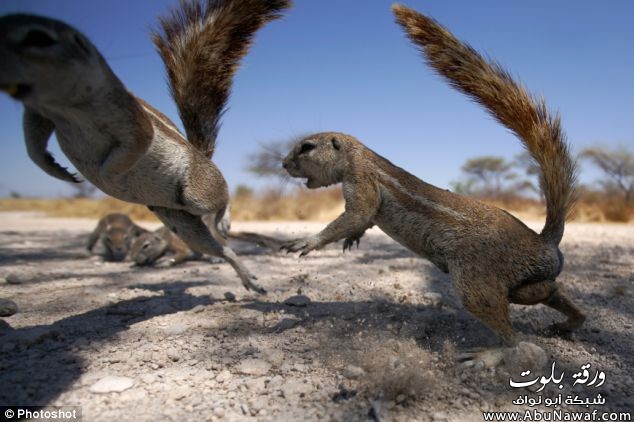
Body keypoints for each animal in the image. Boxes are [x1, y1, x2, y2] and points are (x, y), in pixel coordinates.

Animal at [0, 0, 292, 294]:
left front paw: (105, 176)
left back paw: (224, 221)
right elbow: (33, 143)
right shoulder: (40, 113)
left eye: (39, 37)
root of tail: (200, 155)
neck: (65, 108)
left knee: (223, 198)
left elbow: (131, 146)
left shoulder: (132, 120)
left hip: (196, 195)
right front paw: (55, 168)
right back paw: (244, 275)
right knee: (219, 249)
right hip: (179, 220)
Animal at [280, 4, 584, 360]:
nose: (282, 163)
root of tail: (544, 243)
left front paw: (306, 242)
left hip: (475, 282)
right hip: (521, 284)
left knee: (516, 336)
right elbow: (362, 220)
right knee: (547, 291)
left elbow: (356, 215)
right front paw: (352, 238)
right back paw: (569, 323)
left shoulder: (361, 181)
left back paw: (488, 354)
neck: (359, 156)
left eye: (306, 147)